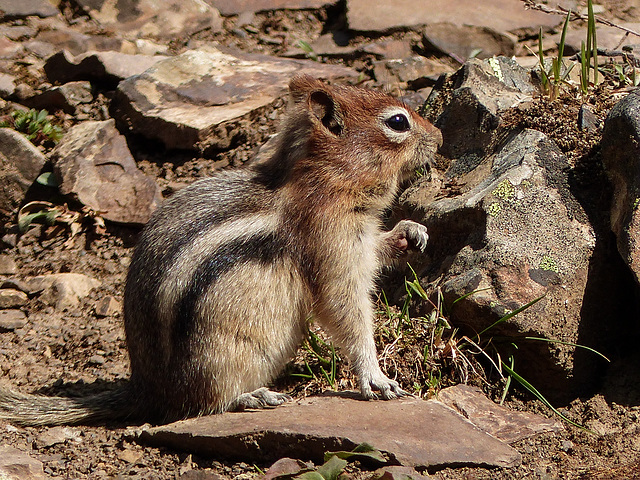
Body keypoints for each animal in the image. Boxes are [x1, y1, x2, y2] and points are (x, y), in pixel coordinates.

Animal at [0, 74, 440, 424]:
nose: (438, 137)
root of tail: (146, 389)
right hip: (220, 360)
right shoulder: (331, 244)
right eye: (397, 121)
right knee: (206, 404)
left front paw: (412, 232)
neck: (325, 180)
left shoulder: (357, 240)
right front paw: (375, 377)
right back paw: (254, 396)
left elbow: (380, 249)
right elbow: (345, 312)